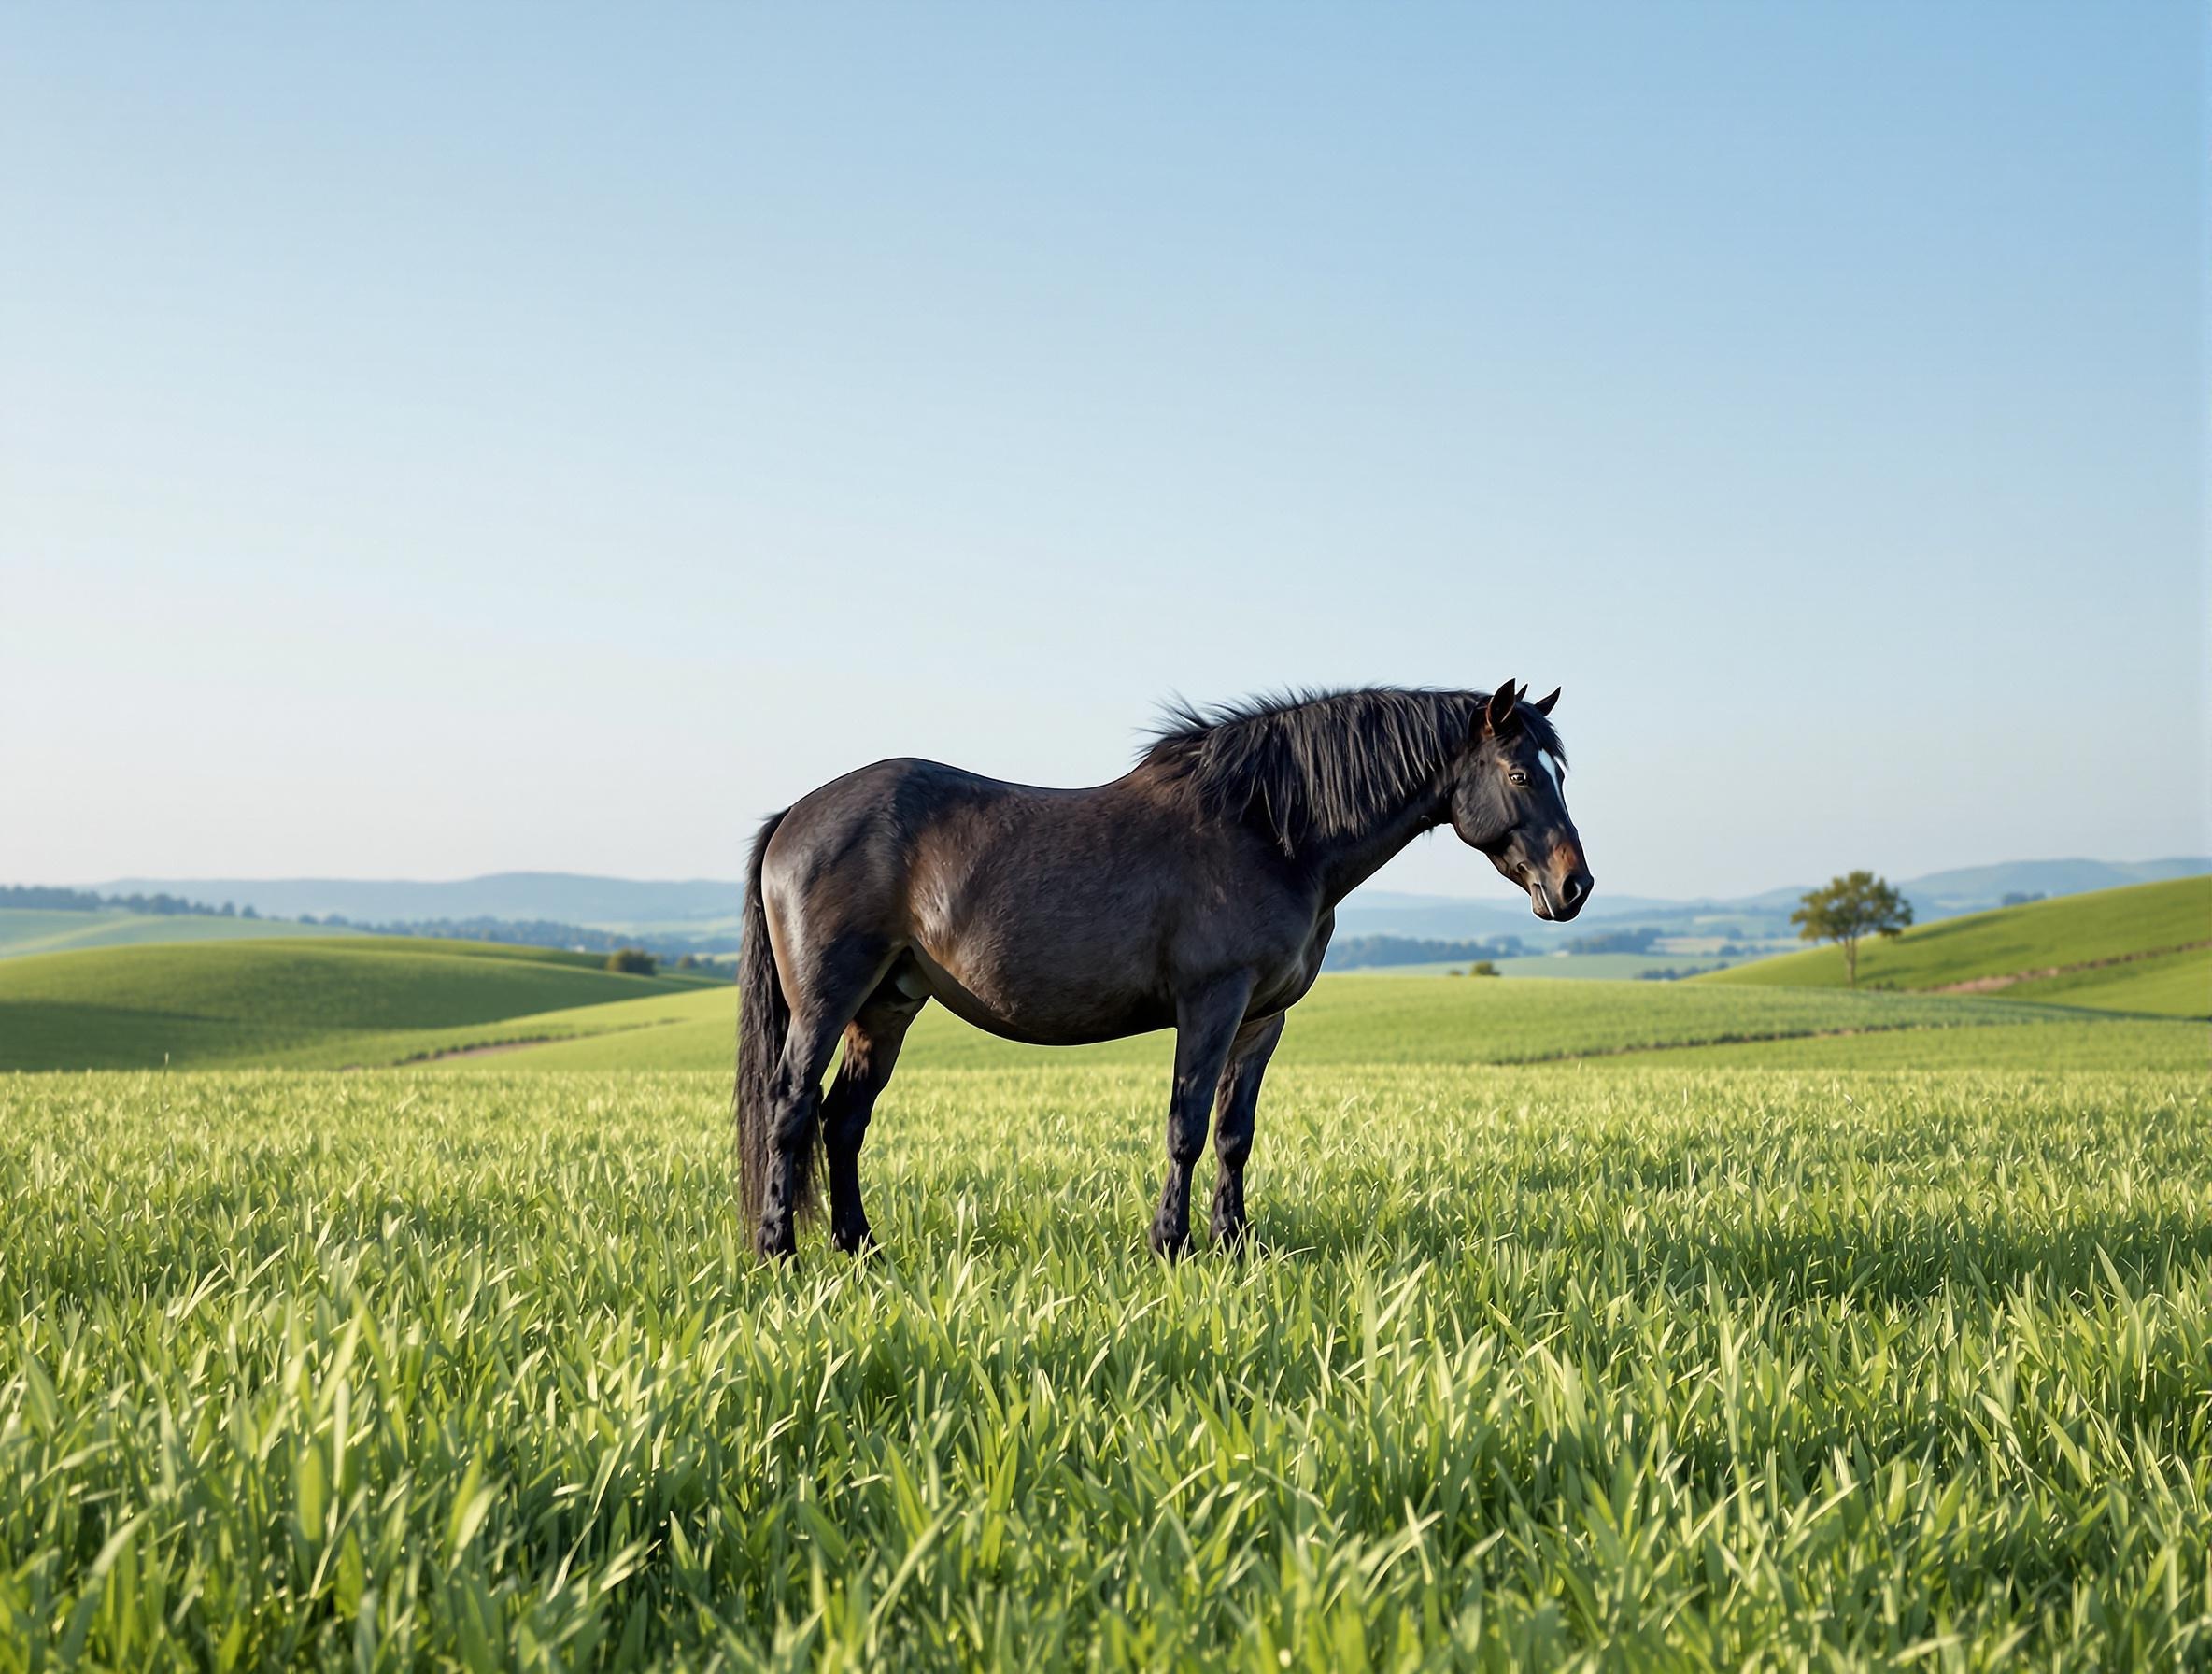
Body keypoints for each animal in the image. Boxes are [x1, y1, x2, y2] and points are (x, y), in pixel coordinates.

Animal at [735, 681, 1592, 1260]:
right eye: (1522, 775)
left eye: (1559, 772)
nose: (1575, 886)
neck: (1271, 831)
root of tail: (794, 817)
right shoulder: (1212, 1002)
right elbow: (1187, 1125)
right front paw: (1171, 1244)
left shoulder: (1262, 1018)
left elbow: (1234, 1132)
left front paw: (1235, 1242)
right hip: (827, 1003)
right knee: (792, 1108)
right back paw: (780, 1252)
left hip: (888, 1005)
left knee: (844, 1121)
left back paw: (860, 1249)